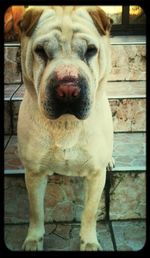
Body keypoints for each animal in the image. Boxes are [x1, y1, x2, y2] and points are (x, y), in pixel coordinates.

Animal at [5, 6, 113, 251]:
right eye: (41, 51)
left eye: (91, 51)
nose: (68, 90)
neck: (66, 124)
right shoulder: (34, 173)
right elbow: (36, 211)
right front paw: (33, 240)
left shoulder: (96, 174)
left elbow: (90, 213)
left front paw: (89, 242)